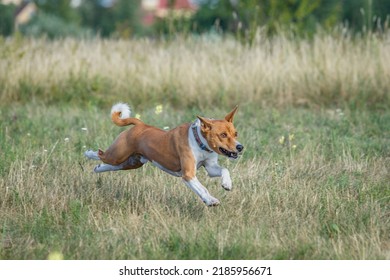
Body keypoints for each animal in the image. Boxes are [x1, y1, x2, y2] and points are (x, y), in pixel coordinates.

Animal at [84, 103, 244, 206]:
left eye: (235, 133)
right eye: (223, 135)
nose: (240, 147)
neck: (200, 142)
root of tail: (140, 125)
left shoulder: (210, 167)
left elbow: (224, 170)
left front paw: (227, 184)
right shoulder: (188, 174)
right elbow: (202, 188)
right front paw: (210, 200)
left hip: (132, 162)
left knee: (110, 165)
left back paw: (98, 168)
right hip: (118, 154)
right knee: (101, 154)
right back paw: (88, 153)